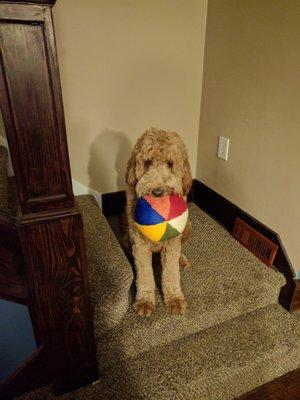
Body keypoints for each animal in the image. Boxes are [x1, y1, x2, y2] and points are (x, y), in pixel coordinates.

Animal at [125, 128, 192, 316]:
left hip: (187, 227)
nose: (158, 192)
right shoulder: (139, 243)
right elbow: (144, 274)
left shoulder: (172, 243)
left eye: (170, 163)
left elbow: (170, 273)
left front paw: (174, 299)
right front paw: (144, 301)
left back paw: (182, 260)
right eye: (147, 162)